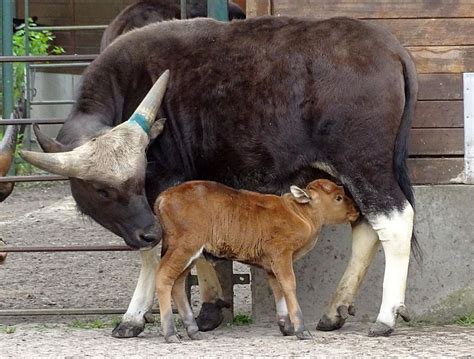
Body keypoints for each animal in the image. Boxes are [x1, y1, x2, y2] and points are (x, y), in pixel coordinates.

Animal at [154, 180, 358, 344]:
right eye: (338, 197)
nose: (355, 211)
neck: (299, 213)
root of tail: (164, 196)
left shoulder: (271, 266)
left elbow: (278, 289)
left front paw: (286, 327)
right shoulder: (281, 256)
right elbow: (289, 285)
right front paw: (301, 330)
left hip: (191, 255)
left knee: (177, 284)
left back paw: (193, 331)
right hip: (184, 248)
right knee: (163, 278)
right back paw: (171, 334)